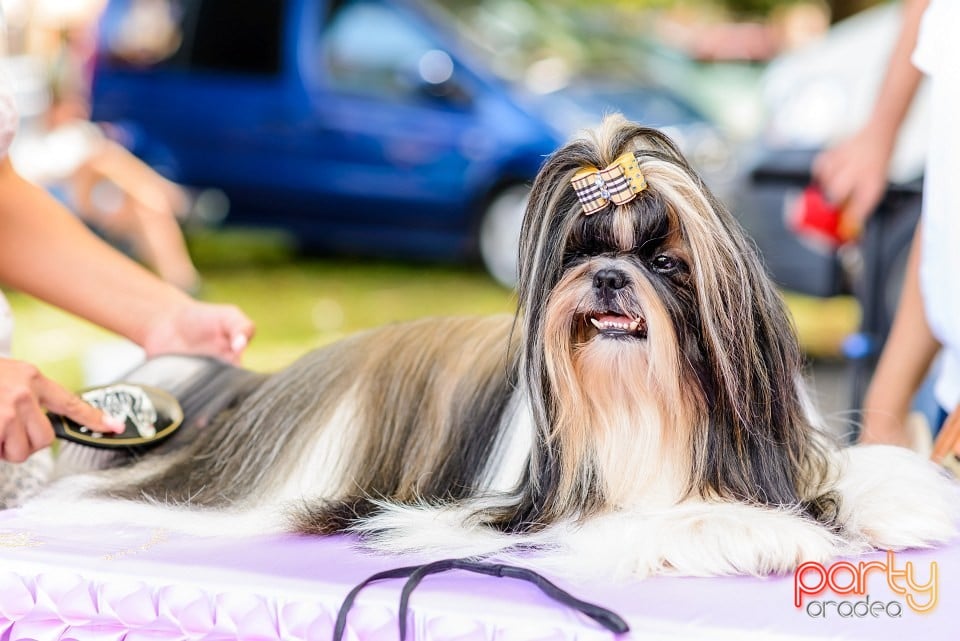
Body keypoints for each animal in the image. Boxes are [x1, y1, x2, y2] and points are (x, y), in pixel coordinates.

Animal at [22, 115, 960, 580]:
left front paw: (904, 497)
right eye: (581, 251)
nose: (608, 278)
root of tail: (268, 386)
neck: (648, 408)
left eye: (666, 262)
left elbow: (855, 476)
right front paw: (756, 531)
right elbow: (671, 518)